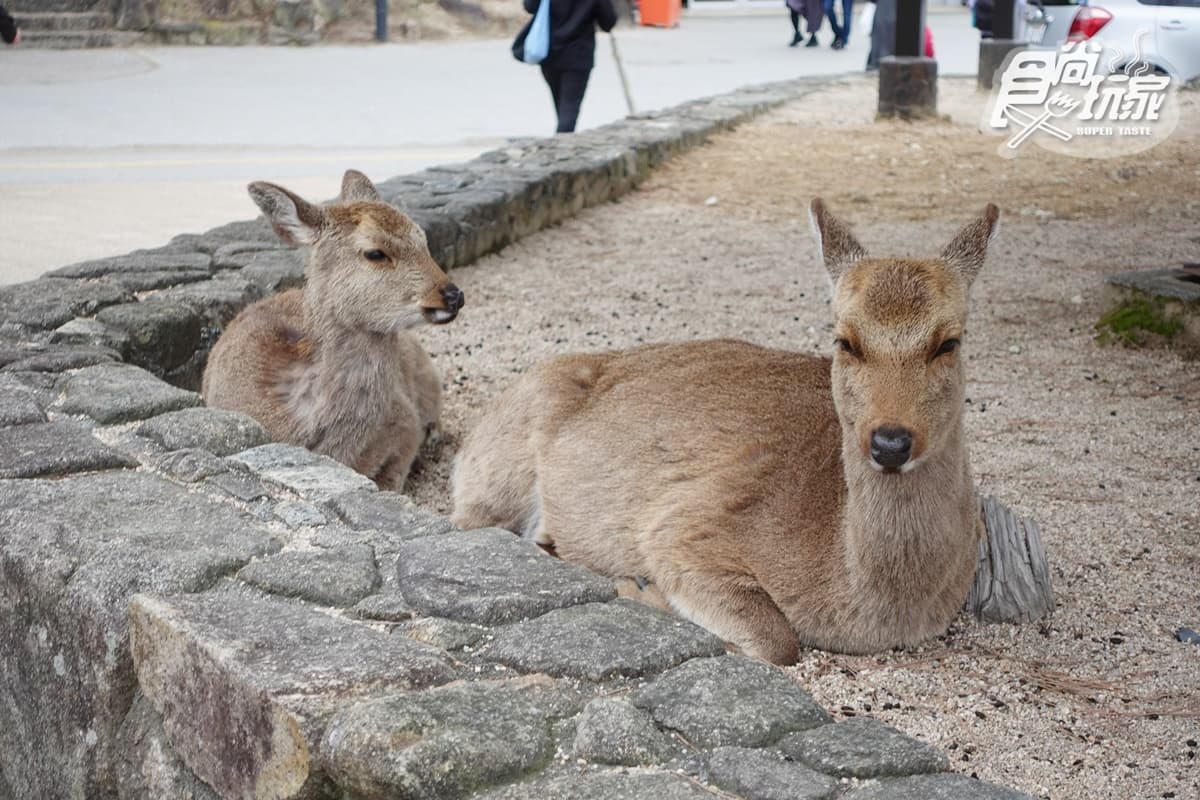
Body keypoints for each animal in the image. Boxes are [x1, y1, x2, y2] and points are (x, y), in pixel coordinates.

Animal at [451, 200, 999, 665]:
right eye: (845, 340)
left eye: (949, 342)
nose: (890, 441)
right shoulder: (686, 525)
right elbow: (778, 641)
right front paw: (639, 589)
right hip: (496, 475)